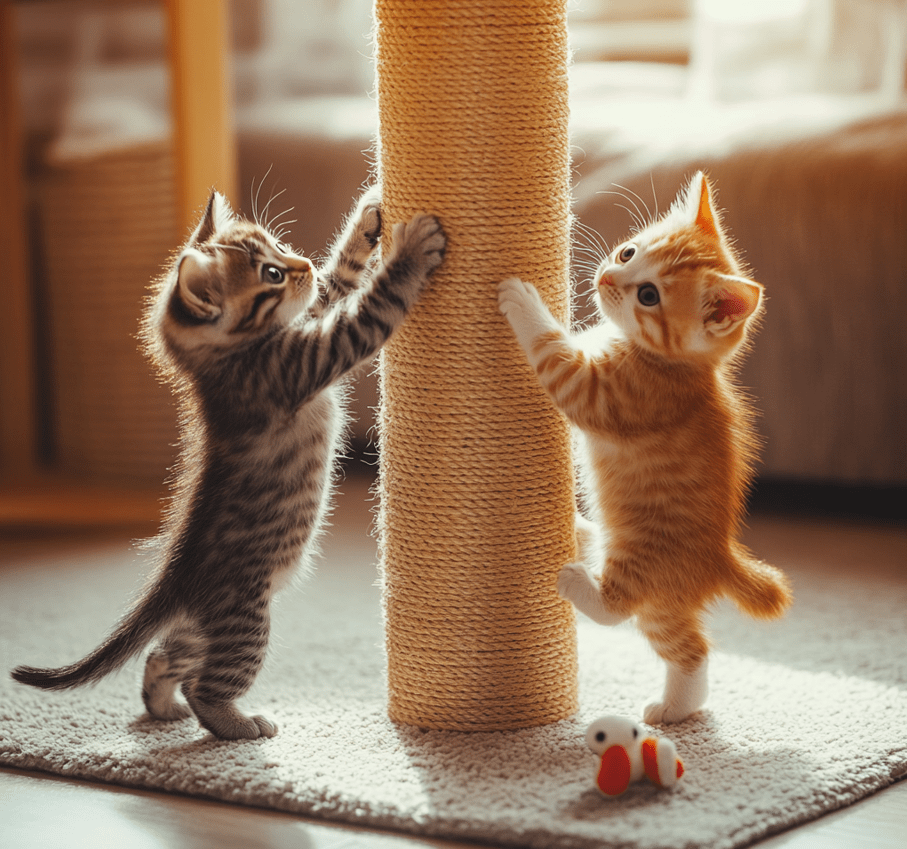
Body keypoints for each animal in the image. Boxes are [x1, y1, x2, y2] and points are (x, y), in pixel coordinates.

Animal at [9, 184, 444, 736]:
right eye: (272, 274)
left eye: (279, 247)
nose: (302, 262)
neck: (224, 360)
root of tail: (176, 579)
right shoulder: (302, 363)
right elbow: (370, 307)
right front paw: (411, 249)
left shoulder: (308, 322)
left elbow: (338, 283)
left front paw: (368, 220)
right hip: (245, 622)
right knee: (206, 687)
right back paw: (236, 723)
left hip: (200, 631)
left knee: (161, 656)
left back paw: (162, 706)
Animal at [500, 171, 792, 724]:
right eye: (628, 252)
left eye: (650, 295)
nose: (608, 279)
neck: (667, 362)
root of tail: (720, 557)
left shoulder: (602, 394)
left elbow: (552, 350)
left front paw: (522, 301)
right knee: (690, 646)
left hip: (644, 563)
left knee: (647, 626)